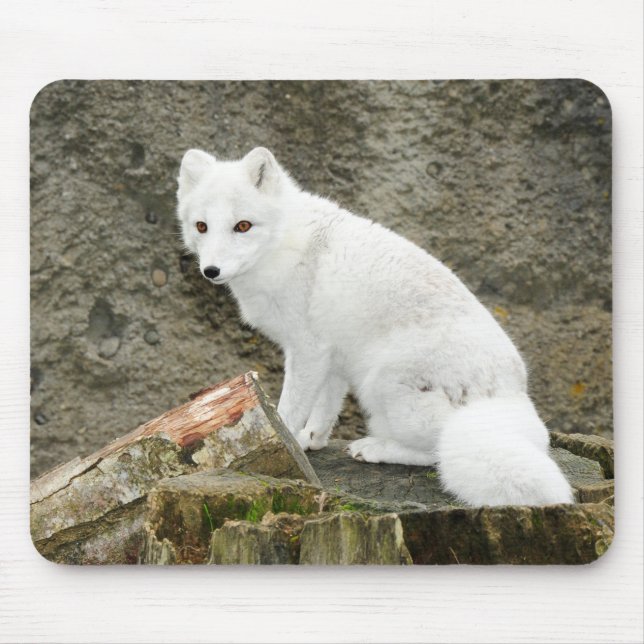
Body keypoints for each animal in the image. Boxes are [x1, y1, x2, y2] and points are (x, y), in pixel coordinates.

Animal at [176, 146, 574, 507]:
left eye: (242, 226)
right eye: (201, 226)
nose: (210, 271)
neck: (283, 245)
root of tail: (510, 396)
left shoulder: (307, 350)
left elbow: (288, 409)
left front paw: (284, 443)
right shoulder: (332, 355)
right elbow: (326, 406)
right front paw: (311, 440)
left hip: (382, 382)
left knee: (436, 453)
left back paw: (373, 449)